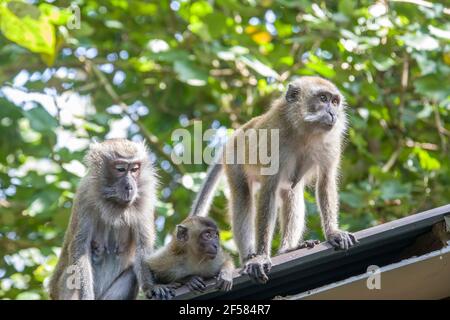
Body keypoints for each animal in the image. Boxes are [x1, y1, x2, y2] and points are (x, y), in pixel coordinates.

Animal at [48, 139, 157, 298]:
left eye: (135, 169)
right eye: (120, 169)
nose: (130, 187)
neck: (113, 203)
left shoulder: (146, 199)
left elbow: (143, 246)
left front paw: (151, 287)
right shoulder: (85, 195)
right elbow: (79, 248)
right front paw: (86, 296)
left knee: (132, 274)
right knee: (71, 273)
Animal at [190, 77, 358, 282]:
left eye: (334, 102)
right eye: (323, 98)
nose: (333, 113)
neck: (303, 131)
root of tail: (235, 136)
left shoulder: (331, 144)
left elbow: (325, 181)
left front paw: (333, 232)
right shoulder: (274, 141)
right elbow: (268, 191)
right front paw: (261, 257)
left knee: (291, 192)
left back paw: (287, 249)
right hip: (234, 161)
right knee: (243, 198)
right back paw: (249, 256)